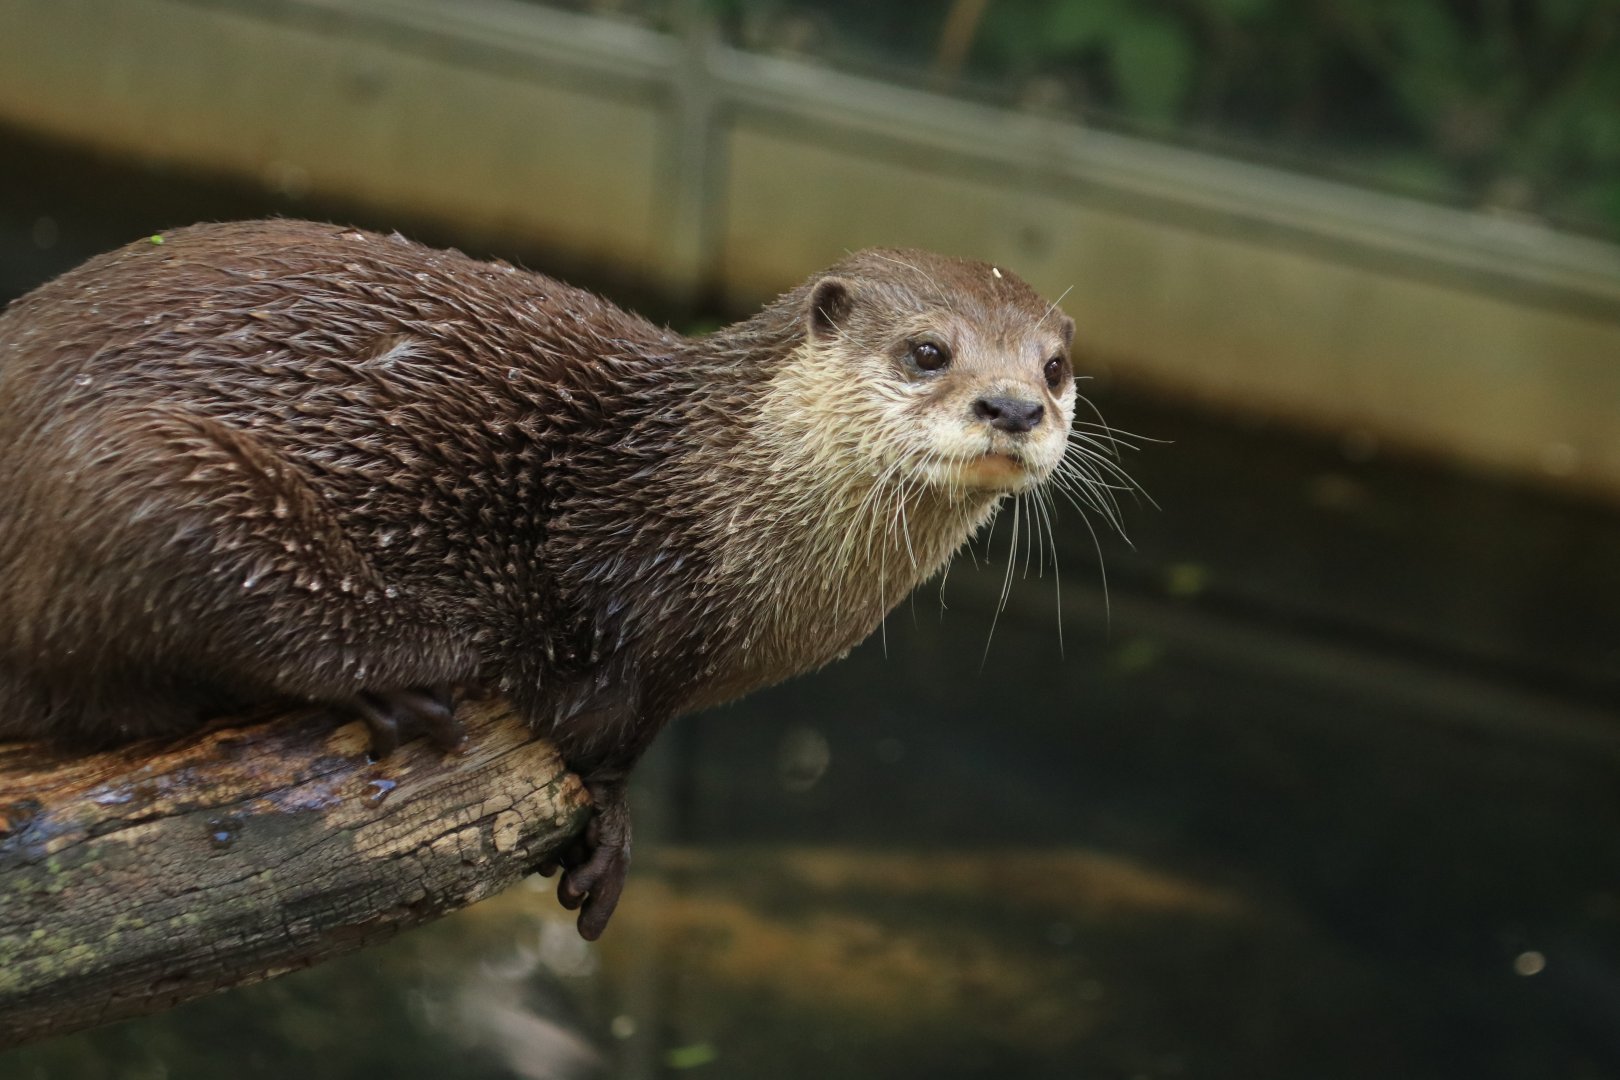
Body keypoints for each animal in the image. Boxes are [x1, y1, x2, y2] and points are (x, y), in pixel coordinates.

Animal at [0, 220, 1081, 938]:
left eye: (1056, 366)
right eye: (928, 350)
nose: (1014, 407)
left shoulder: (660, 678)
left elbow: (616, 755)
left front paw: (608, 826)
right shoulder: (608, 601)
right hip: (146, 473)